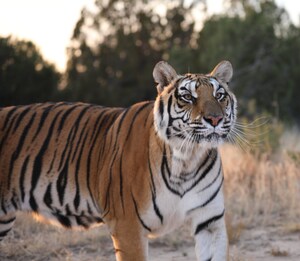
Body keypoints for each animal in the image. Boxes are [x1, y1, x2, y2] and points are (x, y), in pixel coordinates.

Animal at [0, 60, 236, 260]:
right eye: (187, 97)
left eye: (219, 95)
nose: (215, 119)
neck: (187, 158)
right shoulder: (128, 225)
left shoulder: (210, 222)